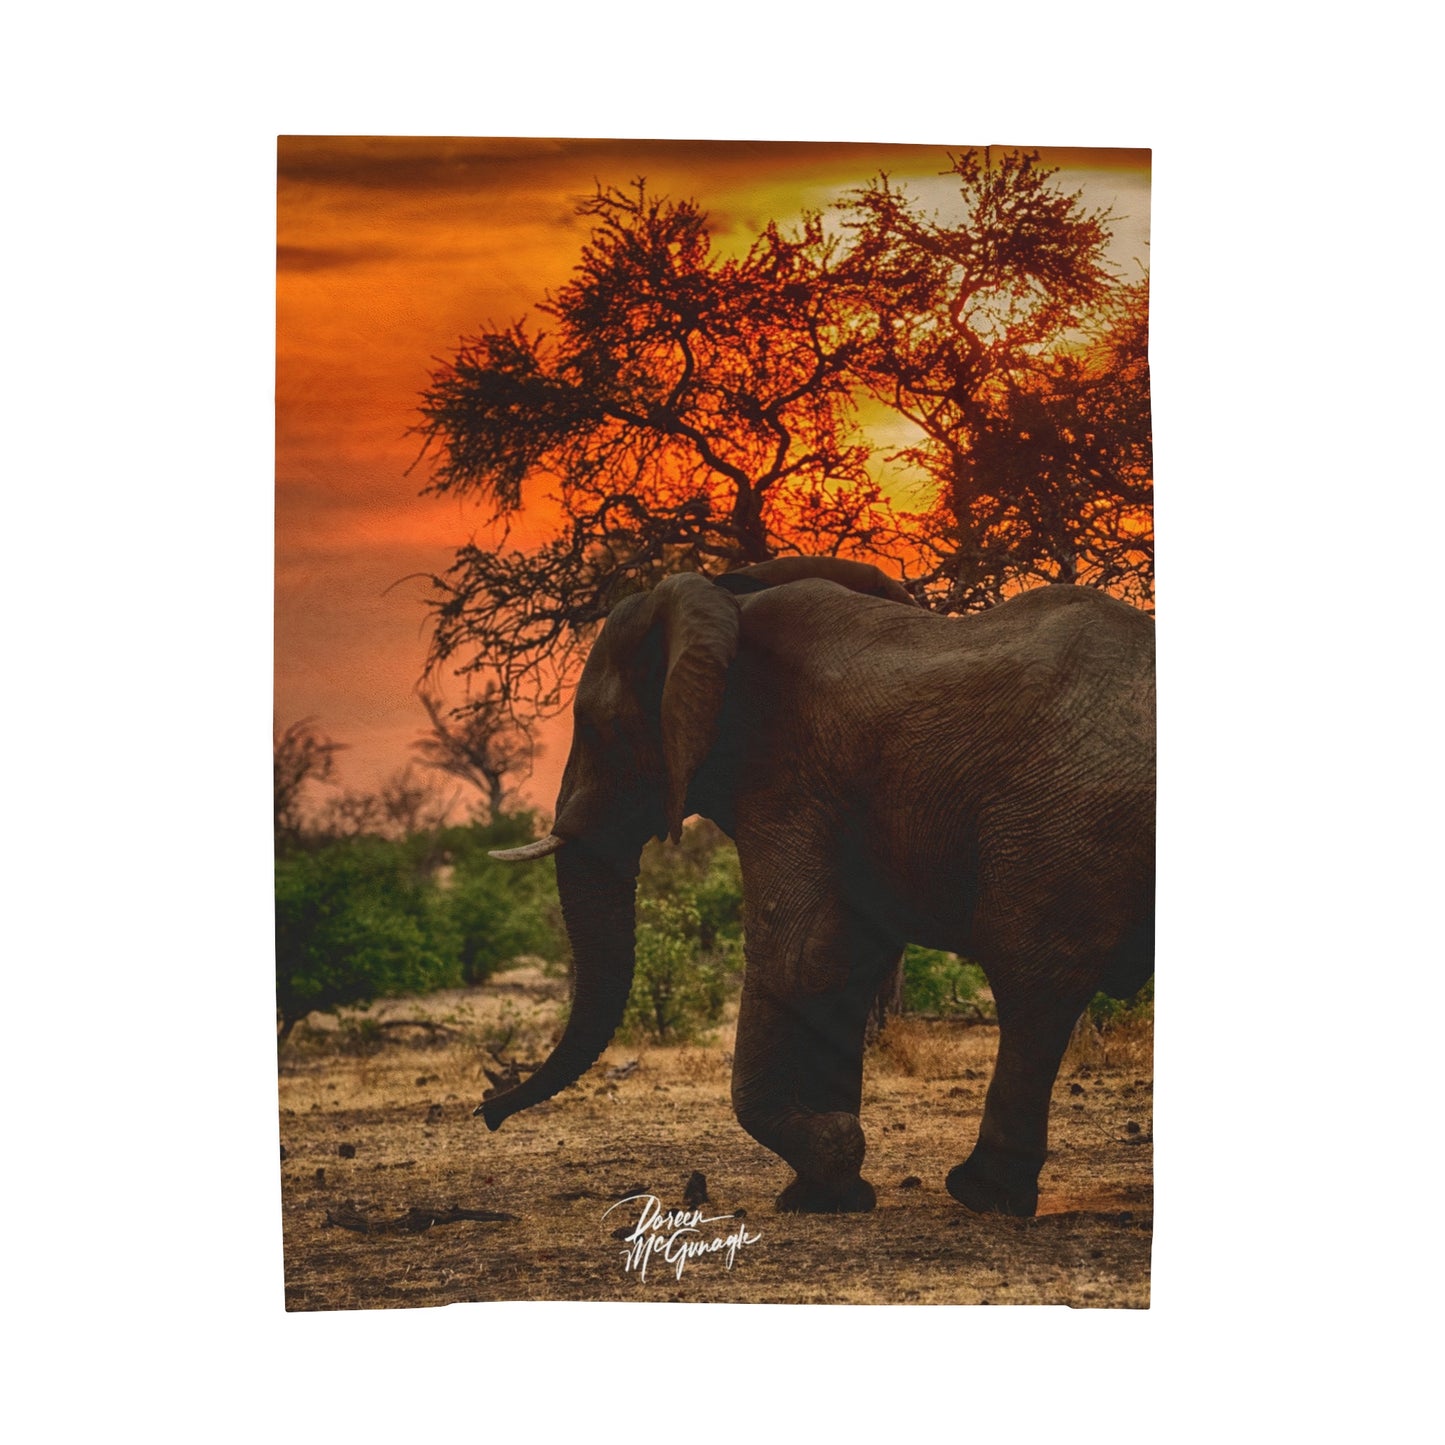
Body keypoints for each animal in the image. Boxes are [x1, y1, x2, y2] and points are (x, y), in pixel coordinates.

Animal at [481, 556, 1155, 1217]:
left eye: (594, 726)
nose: (488, 1113)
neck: (728, 603)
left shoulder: (787, 777)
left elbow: (797, 959)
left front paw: (832, 1151)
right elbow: (846, 964)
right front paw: (826, 1195)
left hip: (1064, 816)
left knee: (1032, 981)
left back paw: (982, 1193)